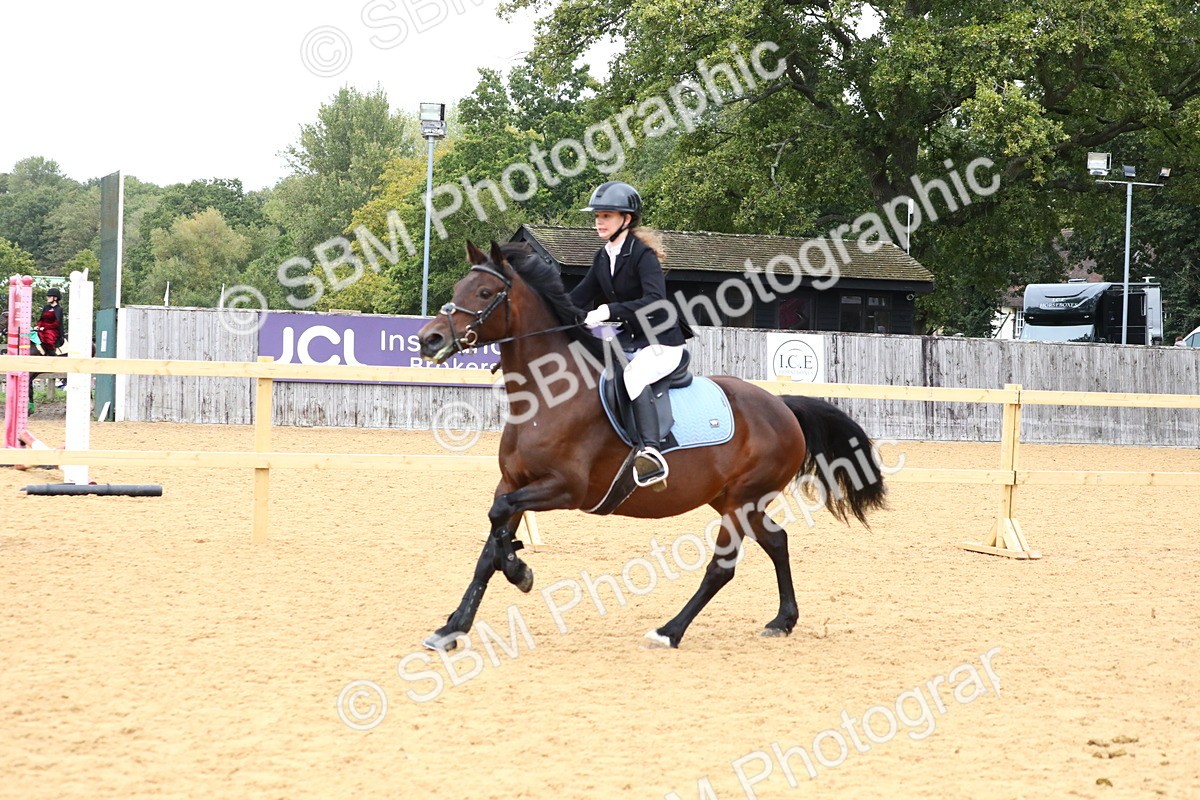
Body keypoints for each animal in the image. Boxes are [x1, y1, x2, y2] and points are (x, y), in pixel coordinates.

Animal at [416, 241, 886, 650]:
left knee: (721, 568)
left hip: (742, 501)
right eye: (457, 289)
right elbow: (489, 542)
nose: (428, 340)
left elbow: (499, 522)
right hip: (733, 499)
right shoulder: (513, 482)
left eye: (484, 292)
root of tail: (782, 406)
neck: (546, 396)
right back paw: (782, 621)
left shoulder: (566, 489)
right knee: (777, 541)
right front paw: (454, 627)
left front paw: (518, 569)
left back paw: (669, 631)